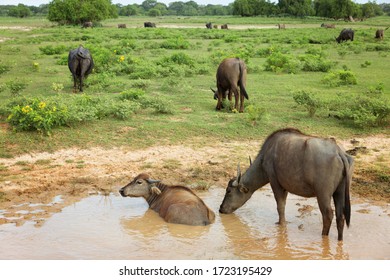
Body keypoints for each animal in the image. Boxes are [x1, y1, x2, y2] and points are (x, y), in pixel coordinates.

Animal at [219, 129, 354, 241]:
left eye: (228, 191)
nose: (221, 208)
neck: (266, 156)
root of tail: (339, 153)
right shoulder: (285, 187)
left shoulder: (275, 182)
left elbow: (280, 206)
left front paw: (281, 224)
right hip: (339, 192)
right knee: (340, 217)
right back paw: (340, 240)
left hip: (323, 194)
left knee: (328, 215)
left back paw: (324, 236)